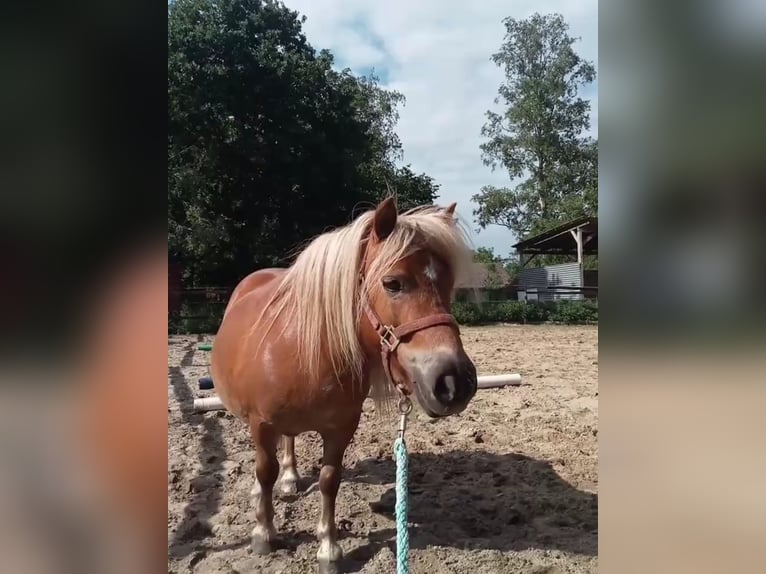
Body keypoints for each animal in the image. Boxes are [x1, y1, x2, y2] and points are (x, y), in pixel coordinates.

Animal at [210, 197, 480, 572]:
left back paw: (290, 480)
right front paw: (263, 533)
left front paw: (329, 549)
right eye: (393, 283)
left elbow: (329, 480)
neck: (307, 351)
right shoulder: (261, 424)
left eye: (449, 284)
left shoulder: (341, 429)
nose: (454, 382)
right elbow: (264, 471)